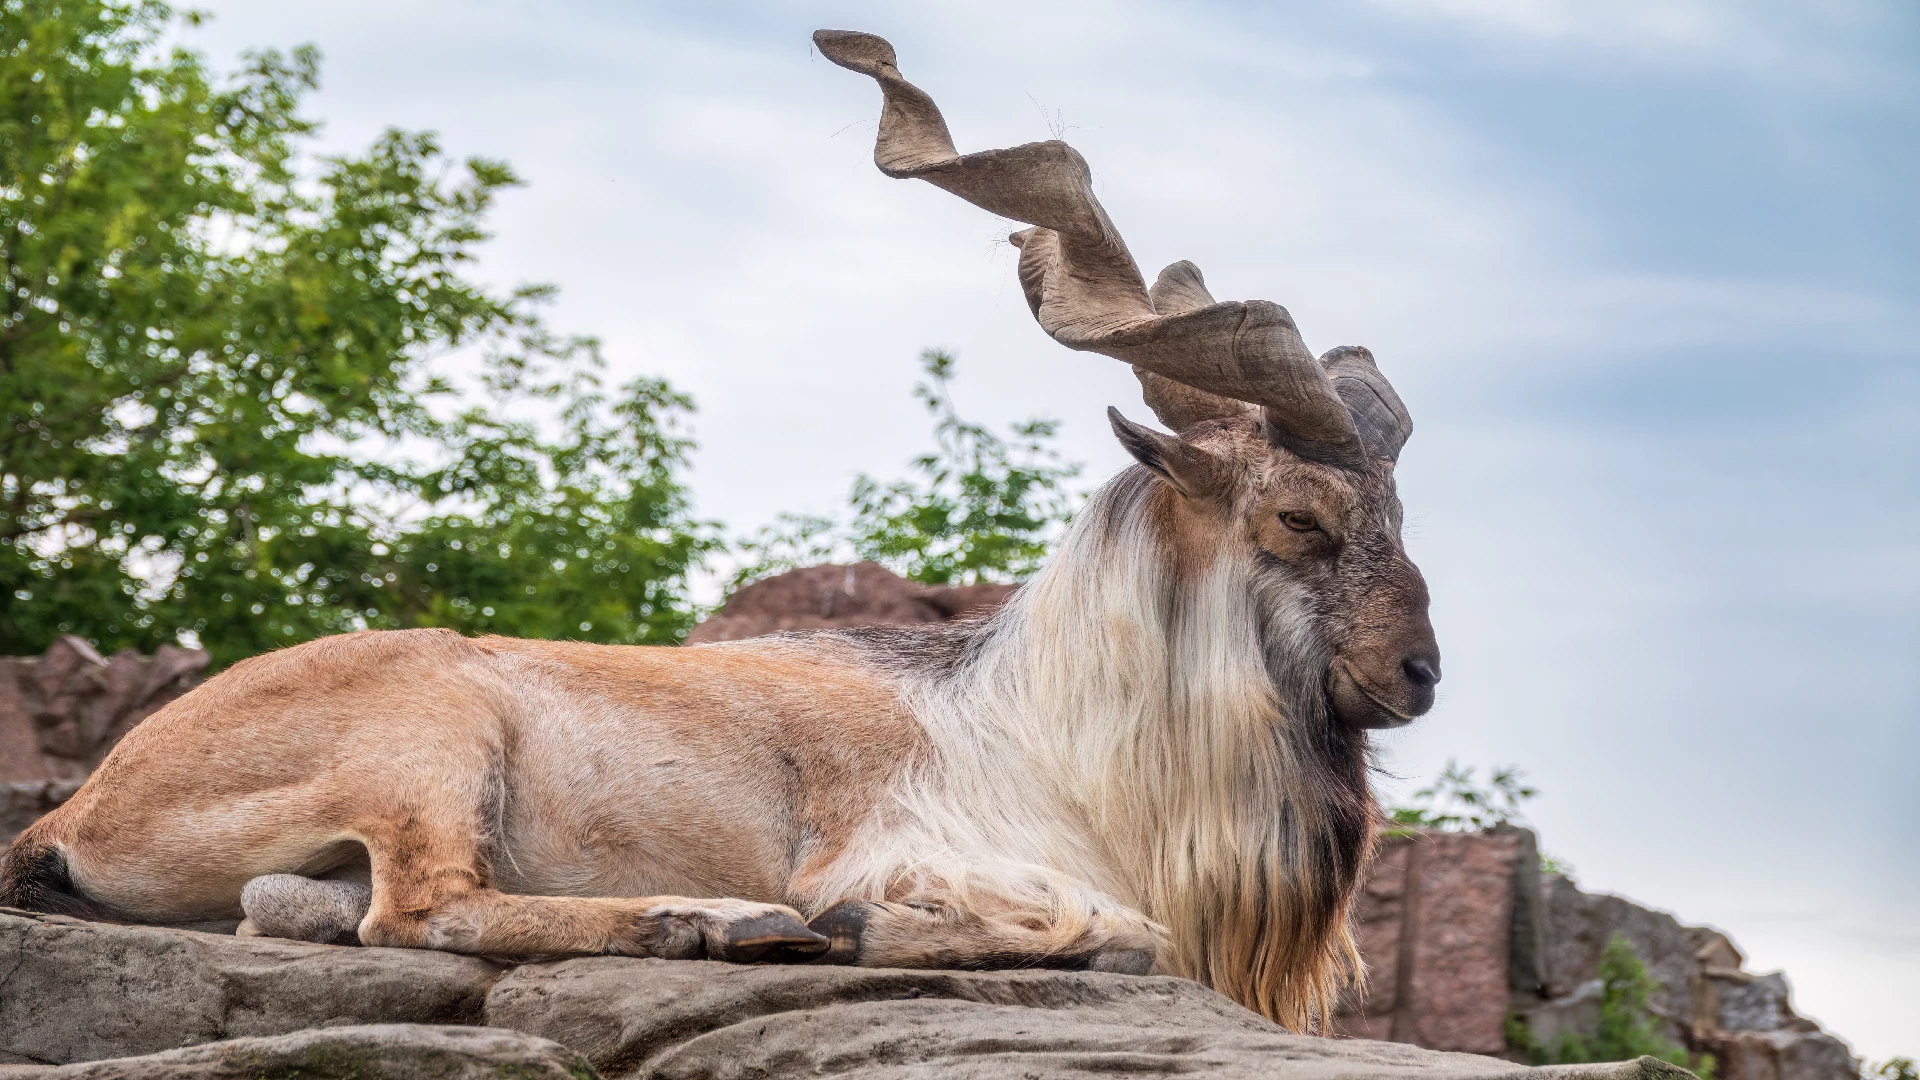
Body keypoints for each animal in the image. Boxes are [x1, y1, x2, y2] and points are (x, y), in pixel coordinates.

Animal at [0, 29, 1436, 1030]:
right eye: (1301, 517)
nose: (1418, 671)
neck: (1048, 729)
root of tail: (87, 799)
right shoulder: (914, 847)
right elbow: (1115, 929)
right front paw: (852, 928)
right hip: (428, 734)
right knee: (418, 911)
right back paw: (726, 923)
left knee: (289, 911)